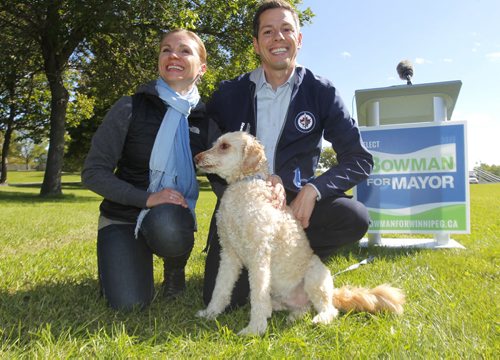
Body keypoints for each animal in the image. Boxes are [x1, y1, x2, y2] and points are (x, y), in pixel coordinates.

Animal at [193, 131, 404, 334]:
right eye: (215, 143)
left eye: (224, 146)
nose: (196, 157)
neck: (243, 184)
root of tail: (333, 291)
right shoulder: (229, 254)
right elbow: (220, 288)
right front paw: (211, 313)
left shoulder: (259, 256)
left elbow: (257, 296)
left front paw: (254, 329)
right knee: (298, 308)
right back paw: (291, 315)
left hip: (314, 278)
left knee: (329, 309)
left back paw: (319, 319)